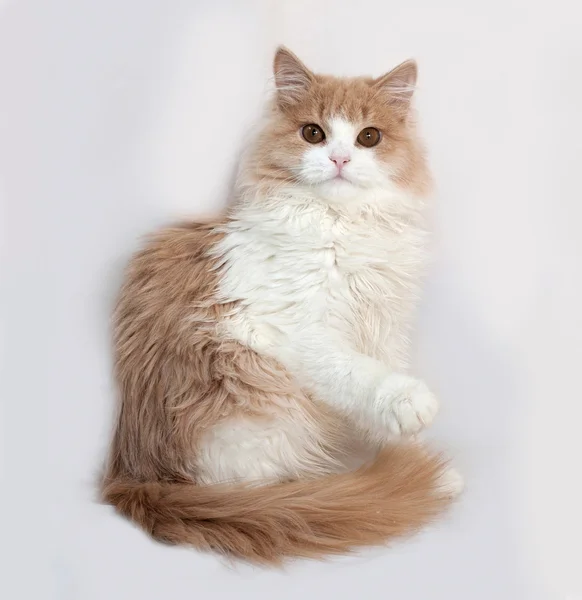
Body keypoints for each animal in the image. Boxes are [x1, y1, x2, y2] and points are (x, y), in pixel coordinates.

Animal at [101, 45, 466, 564]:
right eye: (313, 133)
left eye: (369, 137)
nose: (339, 158)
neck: (340, 226)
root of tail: (138, 480)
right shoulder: (291, 329)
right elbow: (359, 375)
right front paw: (412, 412)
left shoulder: (384, 328)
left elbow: (380, 413)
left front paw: (414, 459)